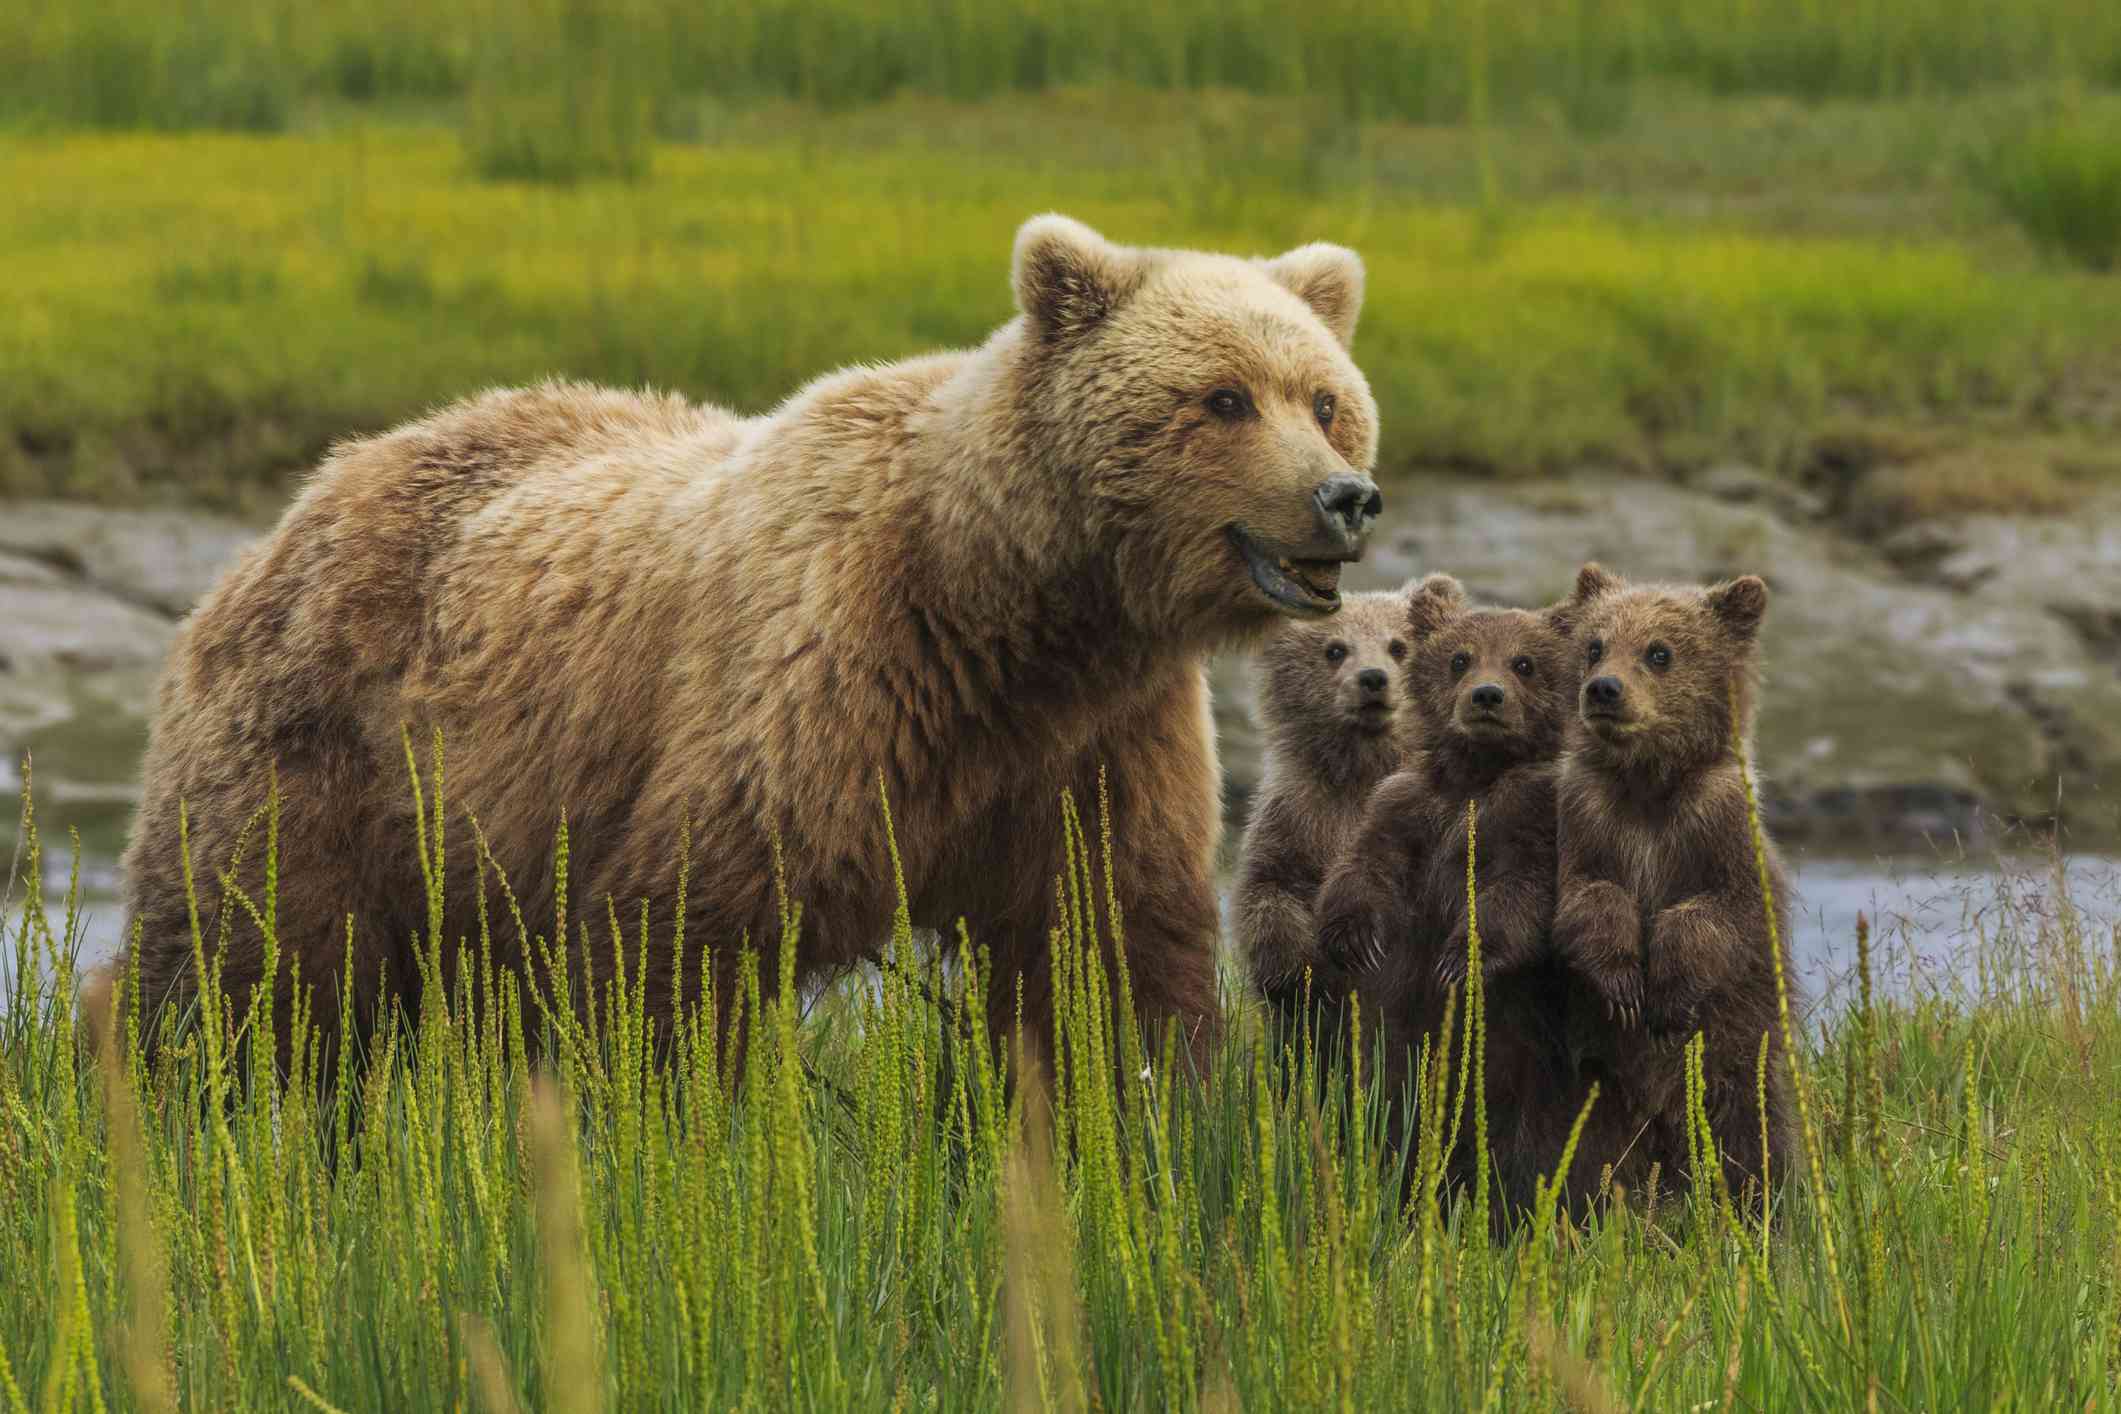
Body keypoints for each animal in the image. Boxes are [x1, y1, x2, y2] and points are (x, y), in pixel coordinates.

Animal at [116, 213, 1382, 1072]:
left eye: (1325, 399)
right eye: (1222, 398)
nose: (1346, 497)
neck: (1011, 610)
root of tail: (302, 502)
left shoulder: (1096, 738)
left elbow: (1110, 948)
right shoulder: (827, 678)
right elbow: (686, 934)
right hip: (326, 750)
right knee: (246, 961)